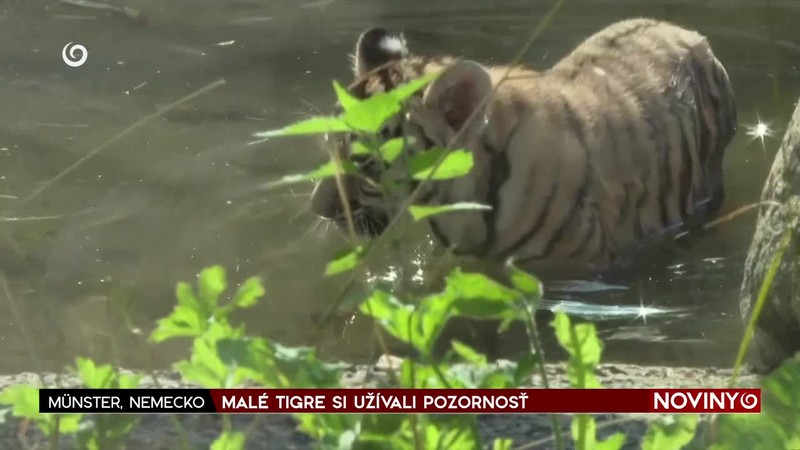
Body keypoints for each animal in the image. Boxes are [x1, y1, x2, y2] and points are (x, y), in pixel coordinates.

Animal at [309, 18, 738, 280]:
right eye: (330, 147)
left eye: (365, 162)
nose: (319, 210)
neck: (458, 208)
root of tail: (684, 29)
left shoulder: (570, 268)